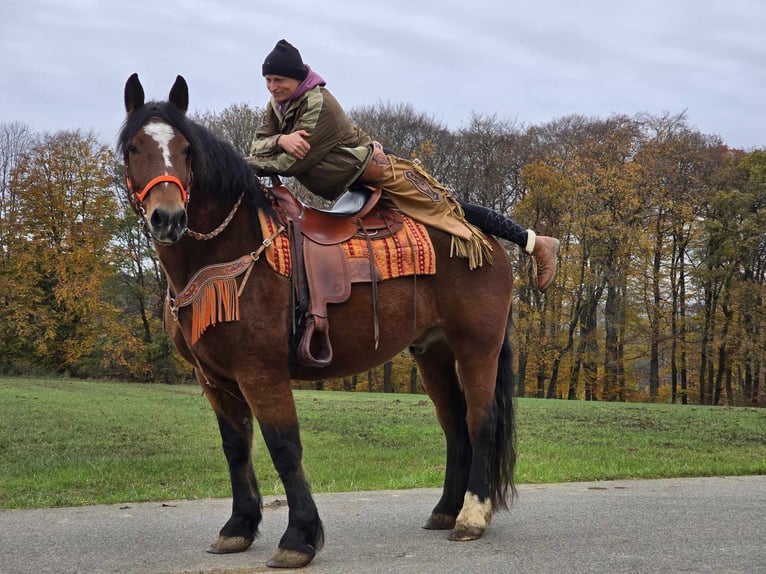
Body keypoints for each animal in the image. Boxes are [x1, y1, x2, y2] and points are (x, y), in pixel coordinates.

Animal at [118, 73, 516, 572]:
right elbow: (236, 448)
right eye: (134, 147)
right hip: (433, 353)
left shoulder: (260, 371)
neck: (228, 251)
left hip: (476, 347)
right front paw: (238, 527)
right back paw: (445, 510)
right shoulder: (214, 378)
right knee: (455, 424)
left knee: (481, 421)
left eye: (187, 149)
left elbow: (284, 446)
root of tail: (480, 235)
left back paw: (472, 516)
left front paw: (299, 537)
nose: (168, 218)